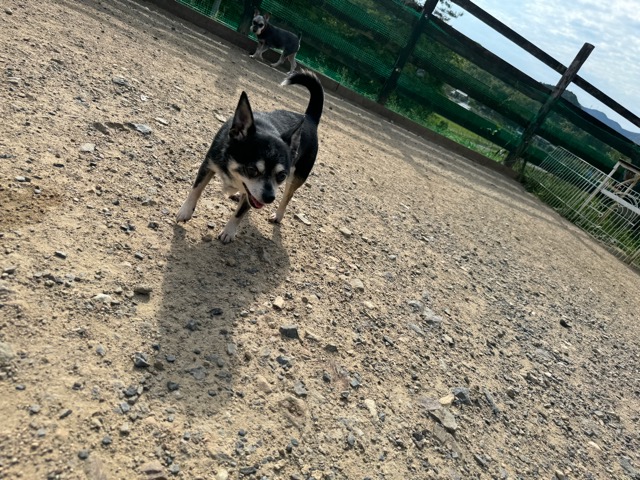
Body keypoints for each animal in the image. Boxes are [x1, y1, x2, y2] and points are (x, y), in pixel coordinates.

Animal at [175, 71, 324, 243]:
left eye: (281, 176)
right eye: (252, 170)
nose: (269, 198)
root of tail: (309, 117)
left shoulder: (253, 195)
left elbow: (239, 213)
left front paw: (229, 231)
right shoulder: (208, 164)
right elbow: (196, 189)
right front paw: (185, 211)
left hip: (297, 177)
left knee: (287, 196)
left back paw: (277, 215)